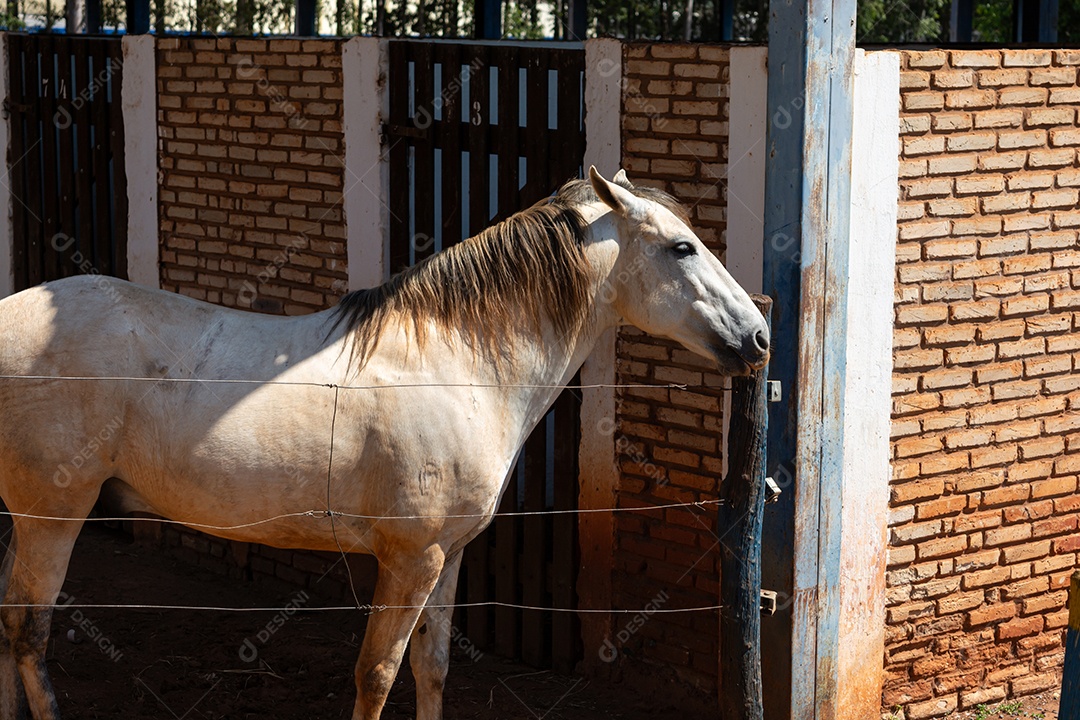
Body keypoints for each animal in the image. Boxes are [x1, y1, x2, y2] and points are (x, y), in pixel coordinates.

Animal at [0, 167, 770, 720]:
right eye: (681, 247)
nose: (759, 338)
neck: (457, 364)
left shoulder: (447, 555)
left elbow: (432, 670)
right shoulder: (410, 557)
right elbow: (377, 674)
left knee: (8, 629)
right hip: (52, 517)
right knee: (29, 634)